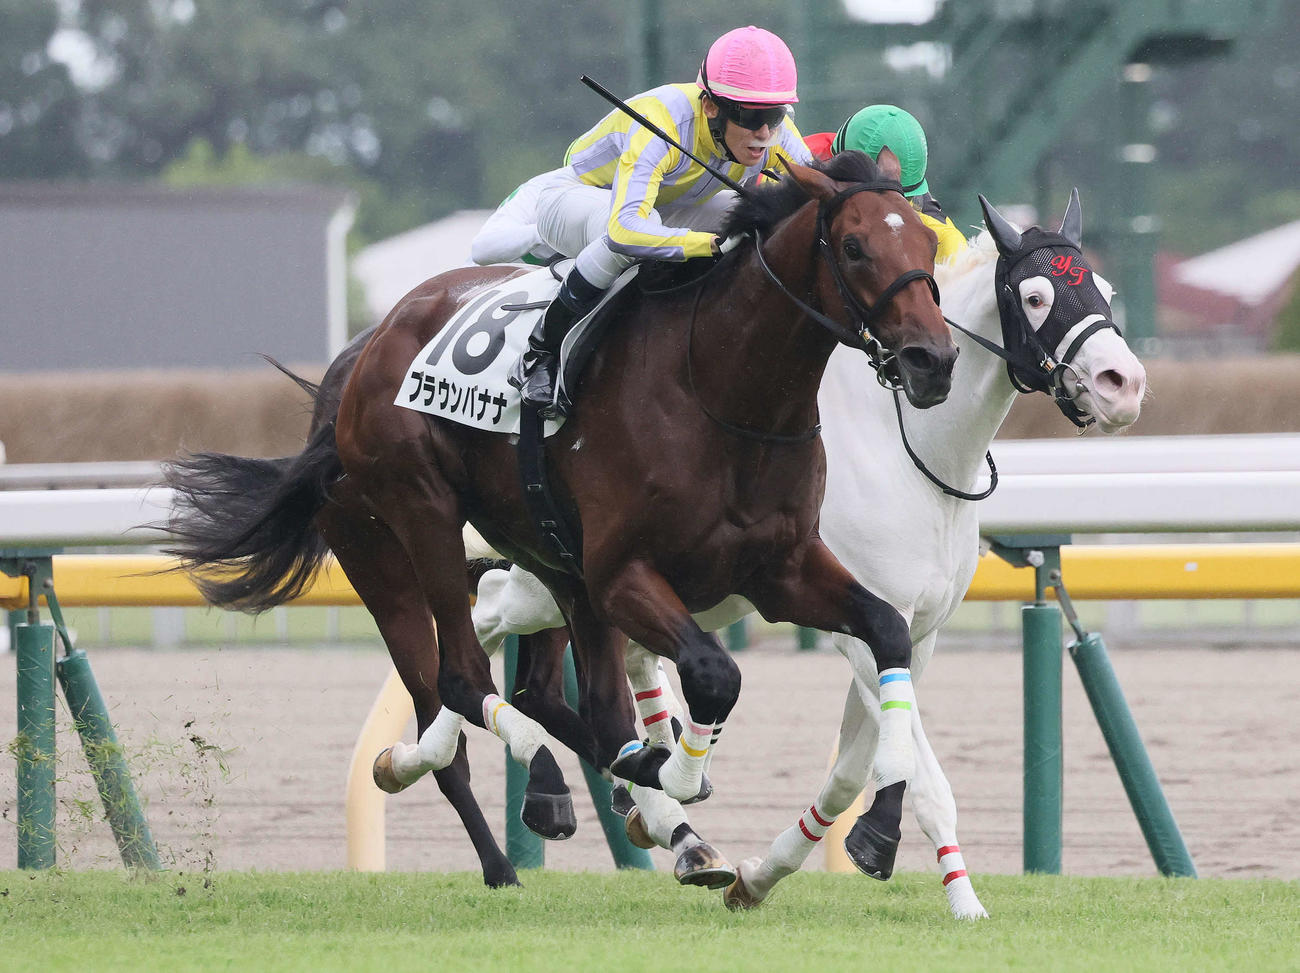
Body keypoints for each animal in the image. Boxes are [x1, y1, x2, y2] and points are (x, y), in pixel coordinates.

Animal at [161, 150, 958, 874]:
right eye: (854, 245)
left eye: (927, 243)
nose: (933, 361)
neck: (721, 393)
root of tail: (357, 360)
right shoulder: (622, 573)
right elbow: (713, 673)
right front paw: (673, 774)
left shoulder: (780, 570)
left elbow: (886, 630)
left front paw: (875, 811)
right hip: (406, 529)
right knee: (459, 684)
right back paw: (515, 833)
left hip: (547, 559)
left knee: (559, 701)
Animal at [466, 192, 1147, 916]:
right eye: (1038, 296)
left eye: (1106, 290)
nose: (1123, 383)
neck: (912, 452)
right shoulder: (858, 625)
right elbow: (924, 777)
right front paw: (953, 891)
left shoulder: (913, 633)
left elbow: (853, 767)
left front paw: (769, 871)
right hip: (547, 581)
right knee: (481, 618)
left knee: (582, 674)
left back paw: (666, 825)